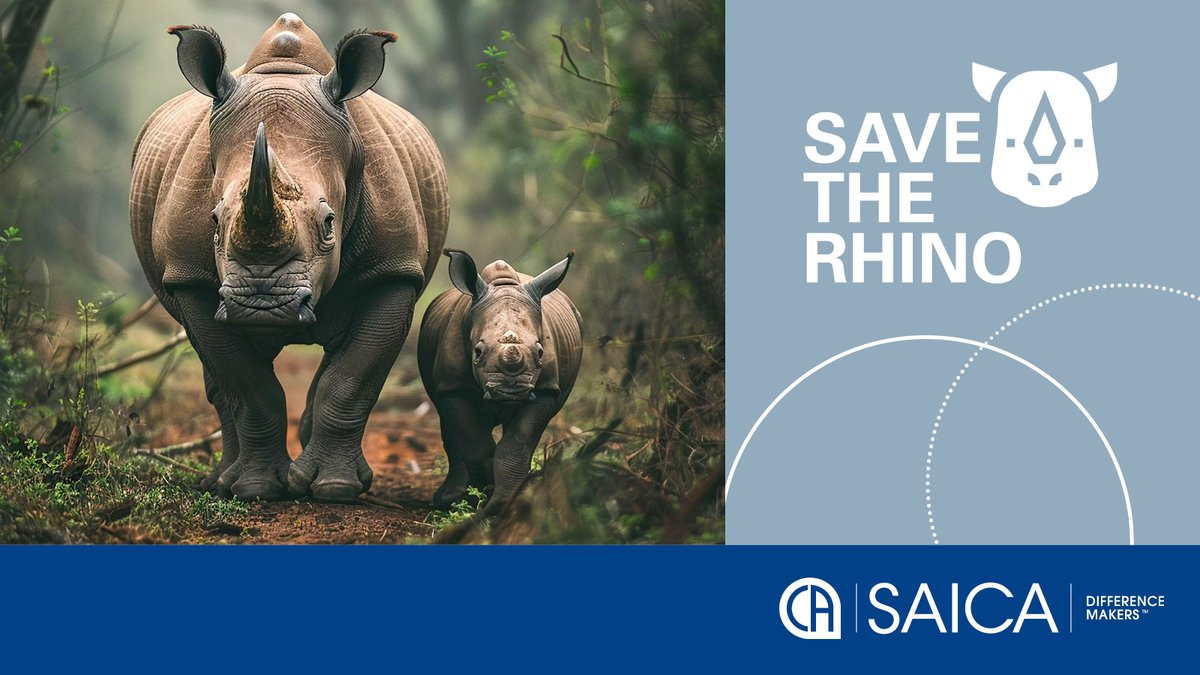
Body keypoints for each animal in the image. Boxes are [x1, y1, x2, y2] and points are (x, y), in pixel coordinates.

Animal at [129, 13, 448, 501]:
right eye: (214, 221)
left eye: (330, 223)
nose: (263, 304)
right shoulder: (191, 278)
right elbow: (247, 385)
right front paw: (257, 490)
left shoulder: (393, 271)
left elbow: (352, 379)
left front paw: (335, 489)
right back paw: (222, 482)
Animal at [417, 250, 582, 512]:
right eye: (477, 352)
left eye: (540, 352)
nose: (510, 390)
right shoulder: (454, 387)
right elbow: (474, 444)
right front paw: (481, 496)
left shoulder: (544, 389)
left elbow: (516, 444)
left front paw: (504, 503)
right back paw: (448, 499)